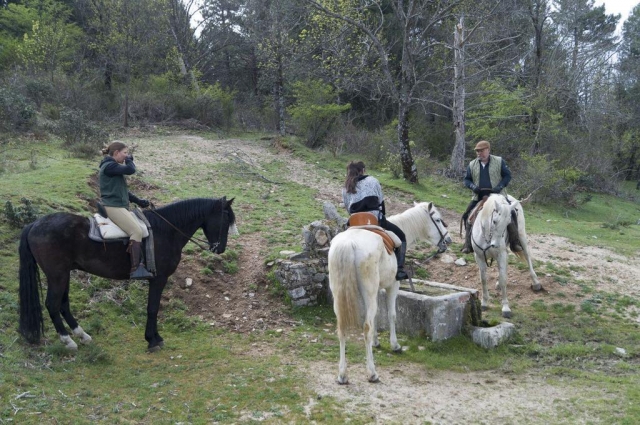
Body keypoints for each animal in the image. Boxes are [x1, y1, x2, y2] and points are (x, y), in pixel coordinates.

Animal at [18, 197, 237, 352]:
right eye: (226, 219)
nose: (220, 249)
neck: (167, 230)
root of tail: (34, 224)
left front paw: (154, 337)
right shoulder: (159, 279)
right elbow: (152, 308)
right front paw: (153, 340)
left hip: (65, 274)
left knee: (63, 304)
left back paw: (82, 336)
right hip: (57, 275)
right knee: (53, 305)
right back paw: (68, 341)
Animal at [328, 202, 451, 384]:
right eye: (437, 219)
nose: (448, 240)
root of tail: (348, 244)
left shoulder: (378, 290)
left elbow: (378, 316)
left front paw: (376, 342)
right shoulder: (393, 285)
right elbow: (391, 315)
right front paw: (395, 345)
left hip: (339, 296)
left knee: (342, 328)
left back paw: (342, 374)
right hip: (368, 293)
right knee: (366, 327)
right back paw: (372, 373)